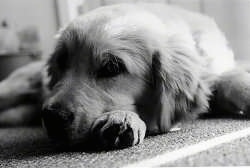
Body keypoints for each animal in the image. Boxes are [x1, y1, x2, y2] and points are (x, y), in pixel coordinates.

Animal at [0, 2, 249, 148]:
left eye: (112, 68)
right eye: (61, 61)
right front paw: (122, 117)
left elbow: (230, 79)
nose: (52, 117)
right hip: (13, 90)